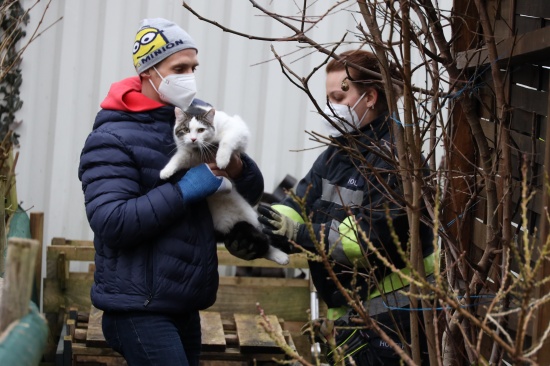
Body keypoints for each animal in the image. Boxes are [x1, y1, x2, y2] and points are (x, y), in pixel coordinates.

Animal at [161, 101, 292, 264]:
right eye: (186, 130)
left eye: (201, 130)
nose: (193, 139)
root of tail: (231, 225)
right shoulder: (188, 153)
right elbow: (178, 158)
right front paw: (166, 171)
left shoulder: (239, 129)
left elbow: (226, 141)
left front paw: (222, 160)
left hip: (253, 220)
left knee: (266, 243)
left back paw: (280, 256)